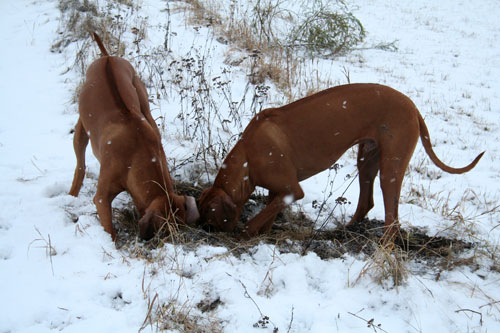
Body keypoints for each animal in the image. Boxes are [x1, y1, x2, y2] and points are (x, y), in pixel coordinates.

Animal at [69, 33, 198, 241]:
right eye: (164, 232)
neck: (139, 153)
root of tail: (107, 57)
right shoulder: (101, 198)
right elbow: (109, 229)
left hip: (143, 99)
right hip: (81, 129)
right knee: (80, 165)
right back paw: (72, 193)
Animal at [198, 82, 484, 240]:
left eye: (211, 221)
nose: (208, 233)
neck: (247, 155)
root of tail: (413, 107)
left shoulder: (292, 190)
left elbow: (259, 217)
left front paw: (246, 232)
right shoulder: (277, 191)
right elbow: (269, 211)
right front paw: (263, 231)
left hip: (390, 168)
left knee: (392, 221)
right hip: (367, 159)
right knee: (367, 203)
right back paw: (344, 230)